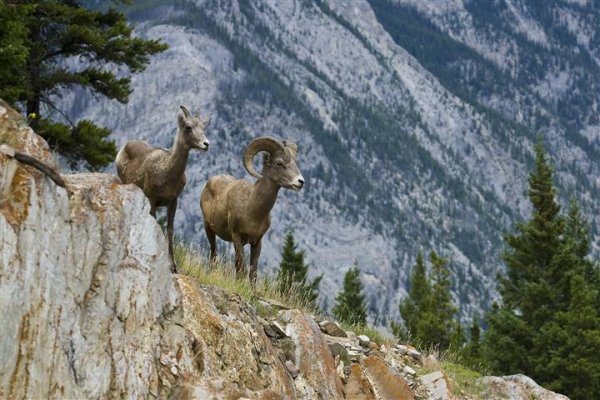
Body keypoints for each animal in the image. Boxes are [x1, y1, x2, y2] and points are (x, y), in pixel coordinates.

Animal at [116, 105, 211, 272]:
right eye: (188, 127)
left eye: (203, 127)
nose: (206, 144)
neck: (167, 172)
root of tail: (123, 148)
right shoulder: (152, 199)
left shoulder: (173, 201)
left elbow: (169, 230)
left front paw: (172, 266)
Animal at [200, 136, 304, 282]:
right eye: (279, 163)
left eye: (295, 163)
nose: (300, 181)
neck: (252, 210)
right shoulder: (237, 236)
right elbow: (242, 269)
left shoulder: (257, 242)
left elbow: (252, 272)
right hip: (209, 229)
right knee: (214, 254)